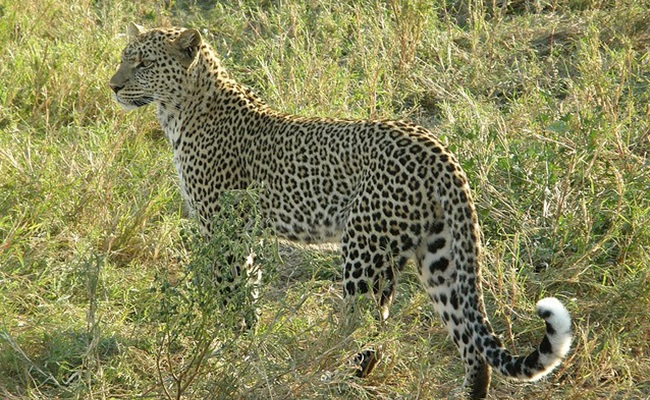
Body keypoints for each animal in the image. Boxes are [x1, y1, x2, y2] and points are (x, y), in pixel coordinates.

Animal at [109, 23, 568, 398]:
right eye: (123, 57)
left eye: (143, 62)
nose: (113, 86)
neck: (181, 110)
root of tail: (438, 150)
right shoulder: (244, 234)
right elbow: (249, 294)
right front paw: (247, 344)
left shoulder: (224, 230)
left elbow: (229, 296)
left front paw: (225, 348)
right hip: (439, 257)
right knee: (470, 344)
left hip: (364, 251)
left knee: (366, 330)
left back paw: (330, 375)